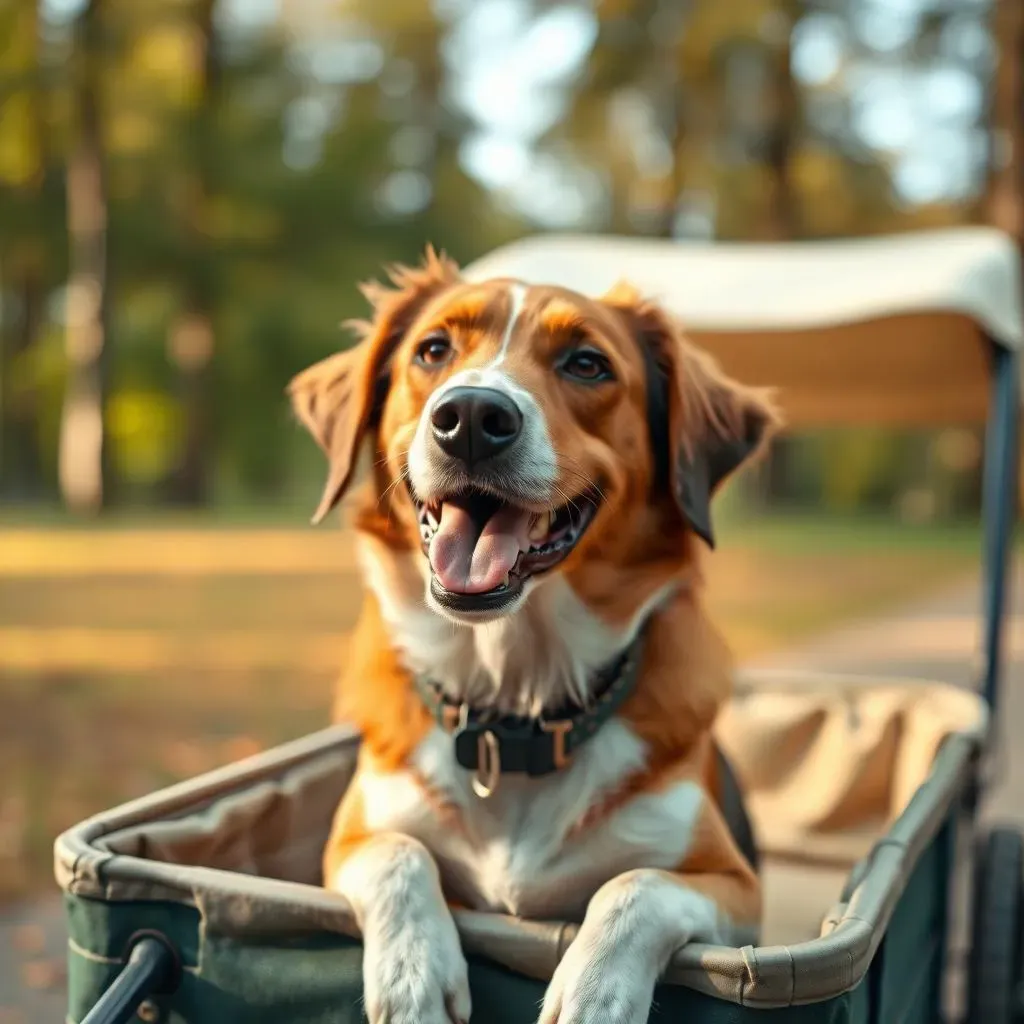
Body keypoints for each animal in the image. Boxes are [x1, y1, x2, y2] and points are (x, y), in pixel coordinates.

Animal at [292, 247, 778, 1024]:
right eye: (433, 350)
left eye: (586, 363)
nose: (469, 416)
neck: (514, 706)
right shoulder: (349, 842)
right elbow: (399, 854)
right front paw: (412, 974)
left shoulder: (734, 890)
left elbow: (633, 885)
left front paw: (595, 990)